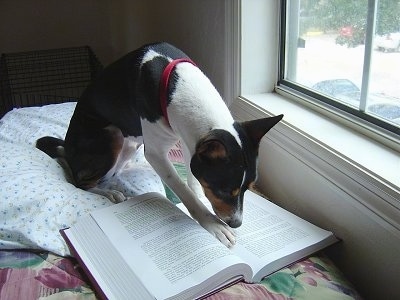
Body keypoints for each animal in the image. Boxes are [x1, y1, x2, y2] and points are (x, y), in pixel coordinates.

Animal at [36, 42, 282, 248]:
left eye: (248, 188)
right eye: (223, 190)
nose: (236, 223)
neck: (176, 83)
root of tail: (67, 150)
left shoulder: (189, 142)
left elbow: (193, 180)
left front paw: (201, 198)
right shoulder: (157, 153)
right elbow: (183, 190)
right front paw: (210, 222)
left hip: (130, 144)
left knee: (108, 172)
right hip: (112, 135)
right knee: (80, 182)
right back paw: (109, 193)